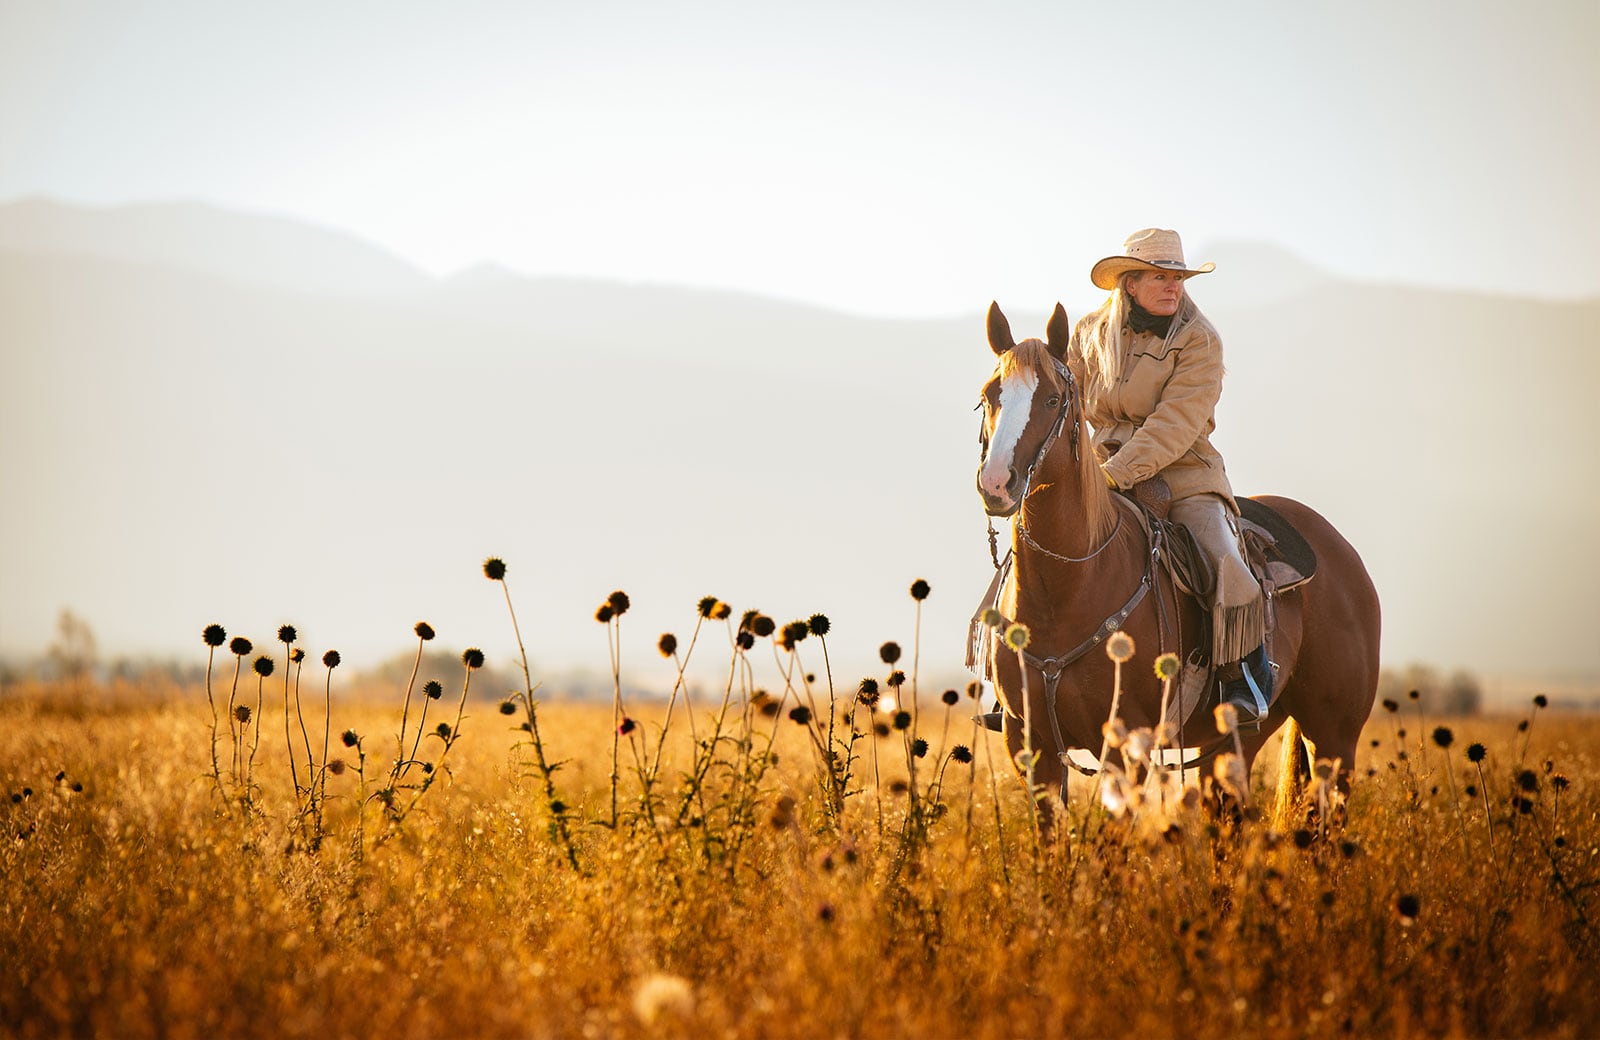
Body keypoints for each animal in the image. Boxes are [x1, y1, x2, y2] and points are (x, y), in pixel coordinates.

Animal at [966, 302, 1382, 825]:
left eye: (1052, 399)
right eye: (989, 394)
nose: (997, 484)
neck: (1068, 585)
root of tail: (1342, 553)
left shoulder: (1128, 743)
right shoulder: (1030, 742)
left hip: (1334, 739)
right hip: (1237, 742)